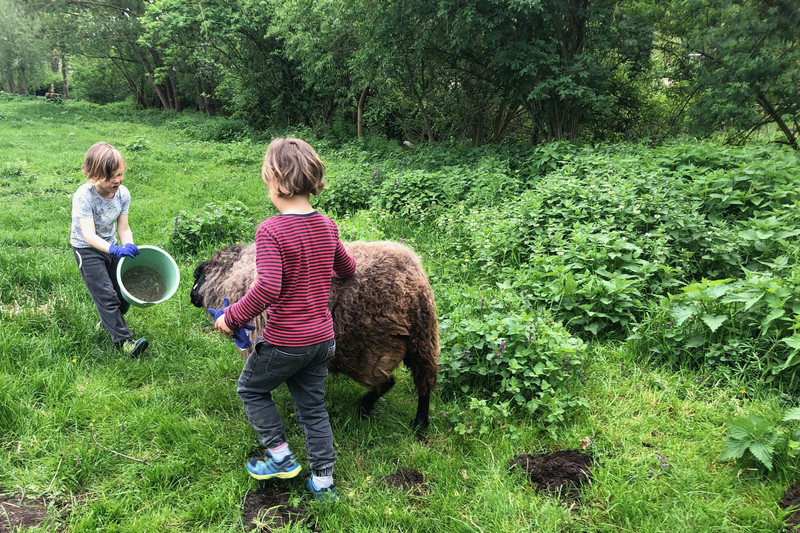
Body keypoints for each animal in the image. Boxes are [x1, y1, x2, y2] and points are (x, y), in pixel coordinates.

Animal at [191, 239, 440, 430]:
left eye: (197, 276)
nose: (191, 297)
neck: (232, 273)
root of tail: (412, 287)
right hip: (423, 341)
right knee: (424, 384)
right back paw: (420, 423)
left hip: (369, 350)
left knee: (386, 382)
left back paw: (364, 407)